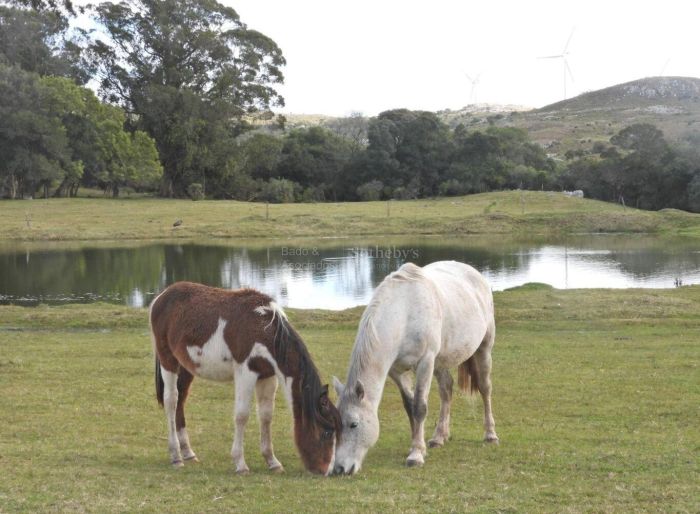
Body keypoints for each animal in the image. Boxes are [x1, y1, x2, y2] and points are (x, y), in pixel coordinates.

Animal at [150, 280, 342, 472]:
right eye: (327, 432)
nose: (329, 470)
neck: (264, 330)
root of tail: (161, 297)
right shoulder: (246, 373)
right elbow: (242, 415)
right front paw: (240, 463)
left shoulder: (267, 376)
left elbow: (266, 416)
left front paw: (272, 461)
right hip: (168, 360)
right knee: (171, 401)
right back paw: (176, 456)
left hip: (186, 367)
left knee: (181, 399)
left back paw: (188, 452)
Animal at [332, 260, 498, 472]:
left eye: (354, 424)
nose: (339, 469)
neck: (404, 311)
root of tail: (475, 273)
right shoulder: (396, 371)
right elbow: (410, 406)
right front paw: (418, 446)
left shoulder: (425, 362)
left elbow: (419, 407)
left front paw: (416, 454)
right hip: (440, 362)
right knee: (446, 390)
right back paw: (439, 437)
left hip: (483, 349)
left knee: (485, 389)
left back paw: (490, 434)